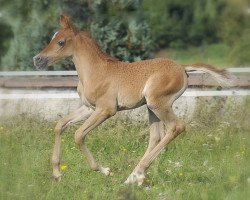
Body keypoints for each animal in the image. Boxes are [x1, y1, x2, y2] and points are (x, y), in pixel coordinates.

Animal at [33, 14, 232, 185]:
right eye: (52, 37)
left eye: (60, 42)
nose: (37, 59)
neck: (95, 71)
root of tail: (182, 67)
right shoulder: (89, 108)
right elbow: (60, 125)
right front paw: (57, 174)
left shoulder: (106, 110)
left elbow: (78, 134)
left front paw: (105, 170)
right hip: (152, 107)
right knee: (156, 136)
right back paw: (135, 177)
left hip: (157, 104)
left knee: (176, 127)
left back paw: (136, 174)